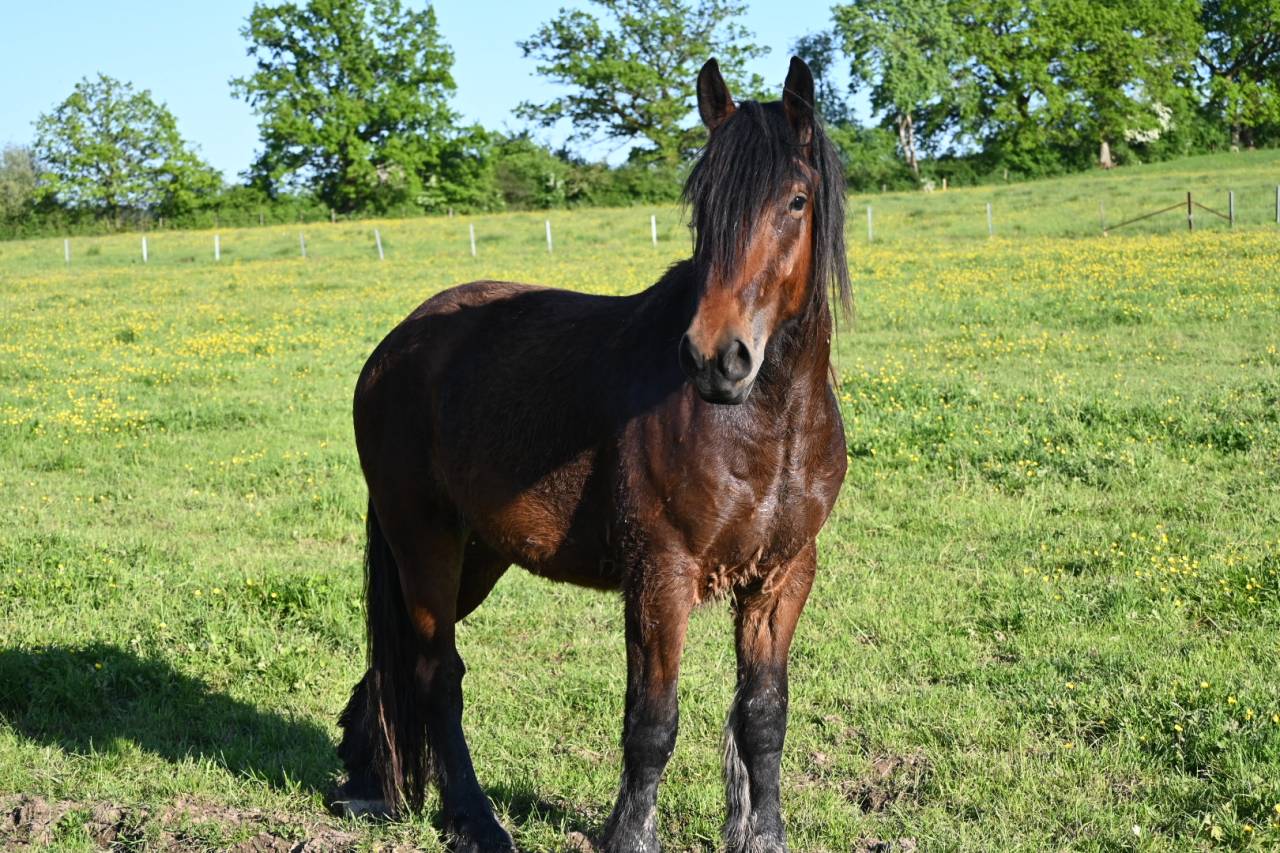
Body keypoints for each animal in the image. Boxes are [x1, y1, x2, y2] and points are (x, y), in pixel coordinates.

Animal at [329, 56, 851, 853]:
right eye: (702, 207)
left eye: (796, 200)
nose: (716, 358)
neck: (766, 424)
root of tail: (395, 346)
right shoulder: (661, 578)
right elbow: (653, 722)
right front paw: (630, 834)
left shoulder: (782, 577)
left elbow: (762, 717)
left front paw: (761, 834)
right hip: (424, 541)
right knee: (436, 674)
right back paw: (475, 819)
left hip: (479, 552)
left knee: (393, 672)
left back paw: (365, 782)